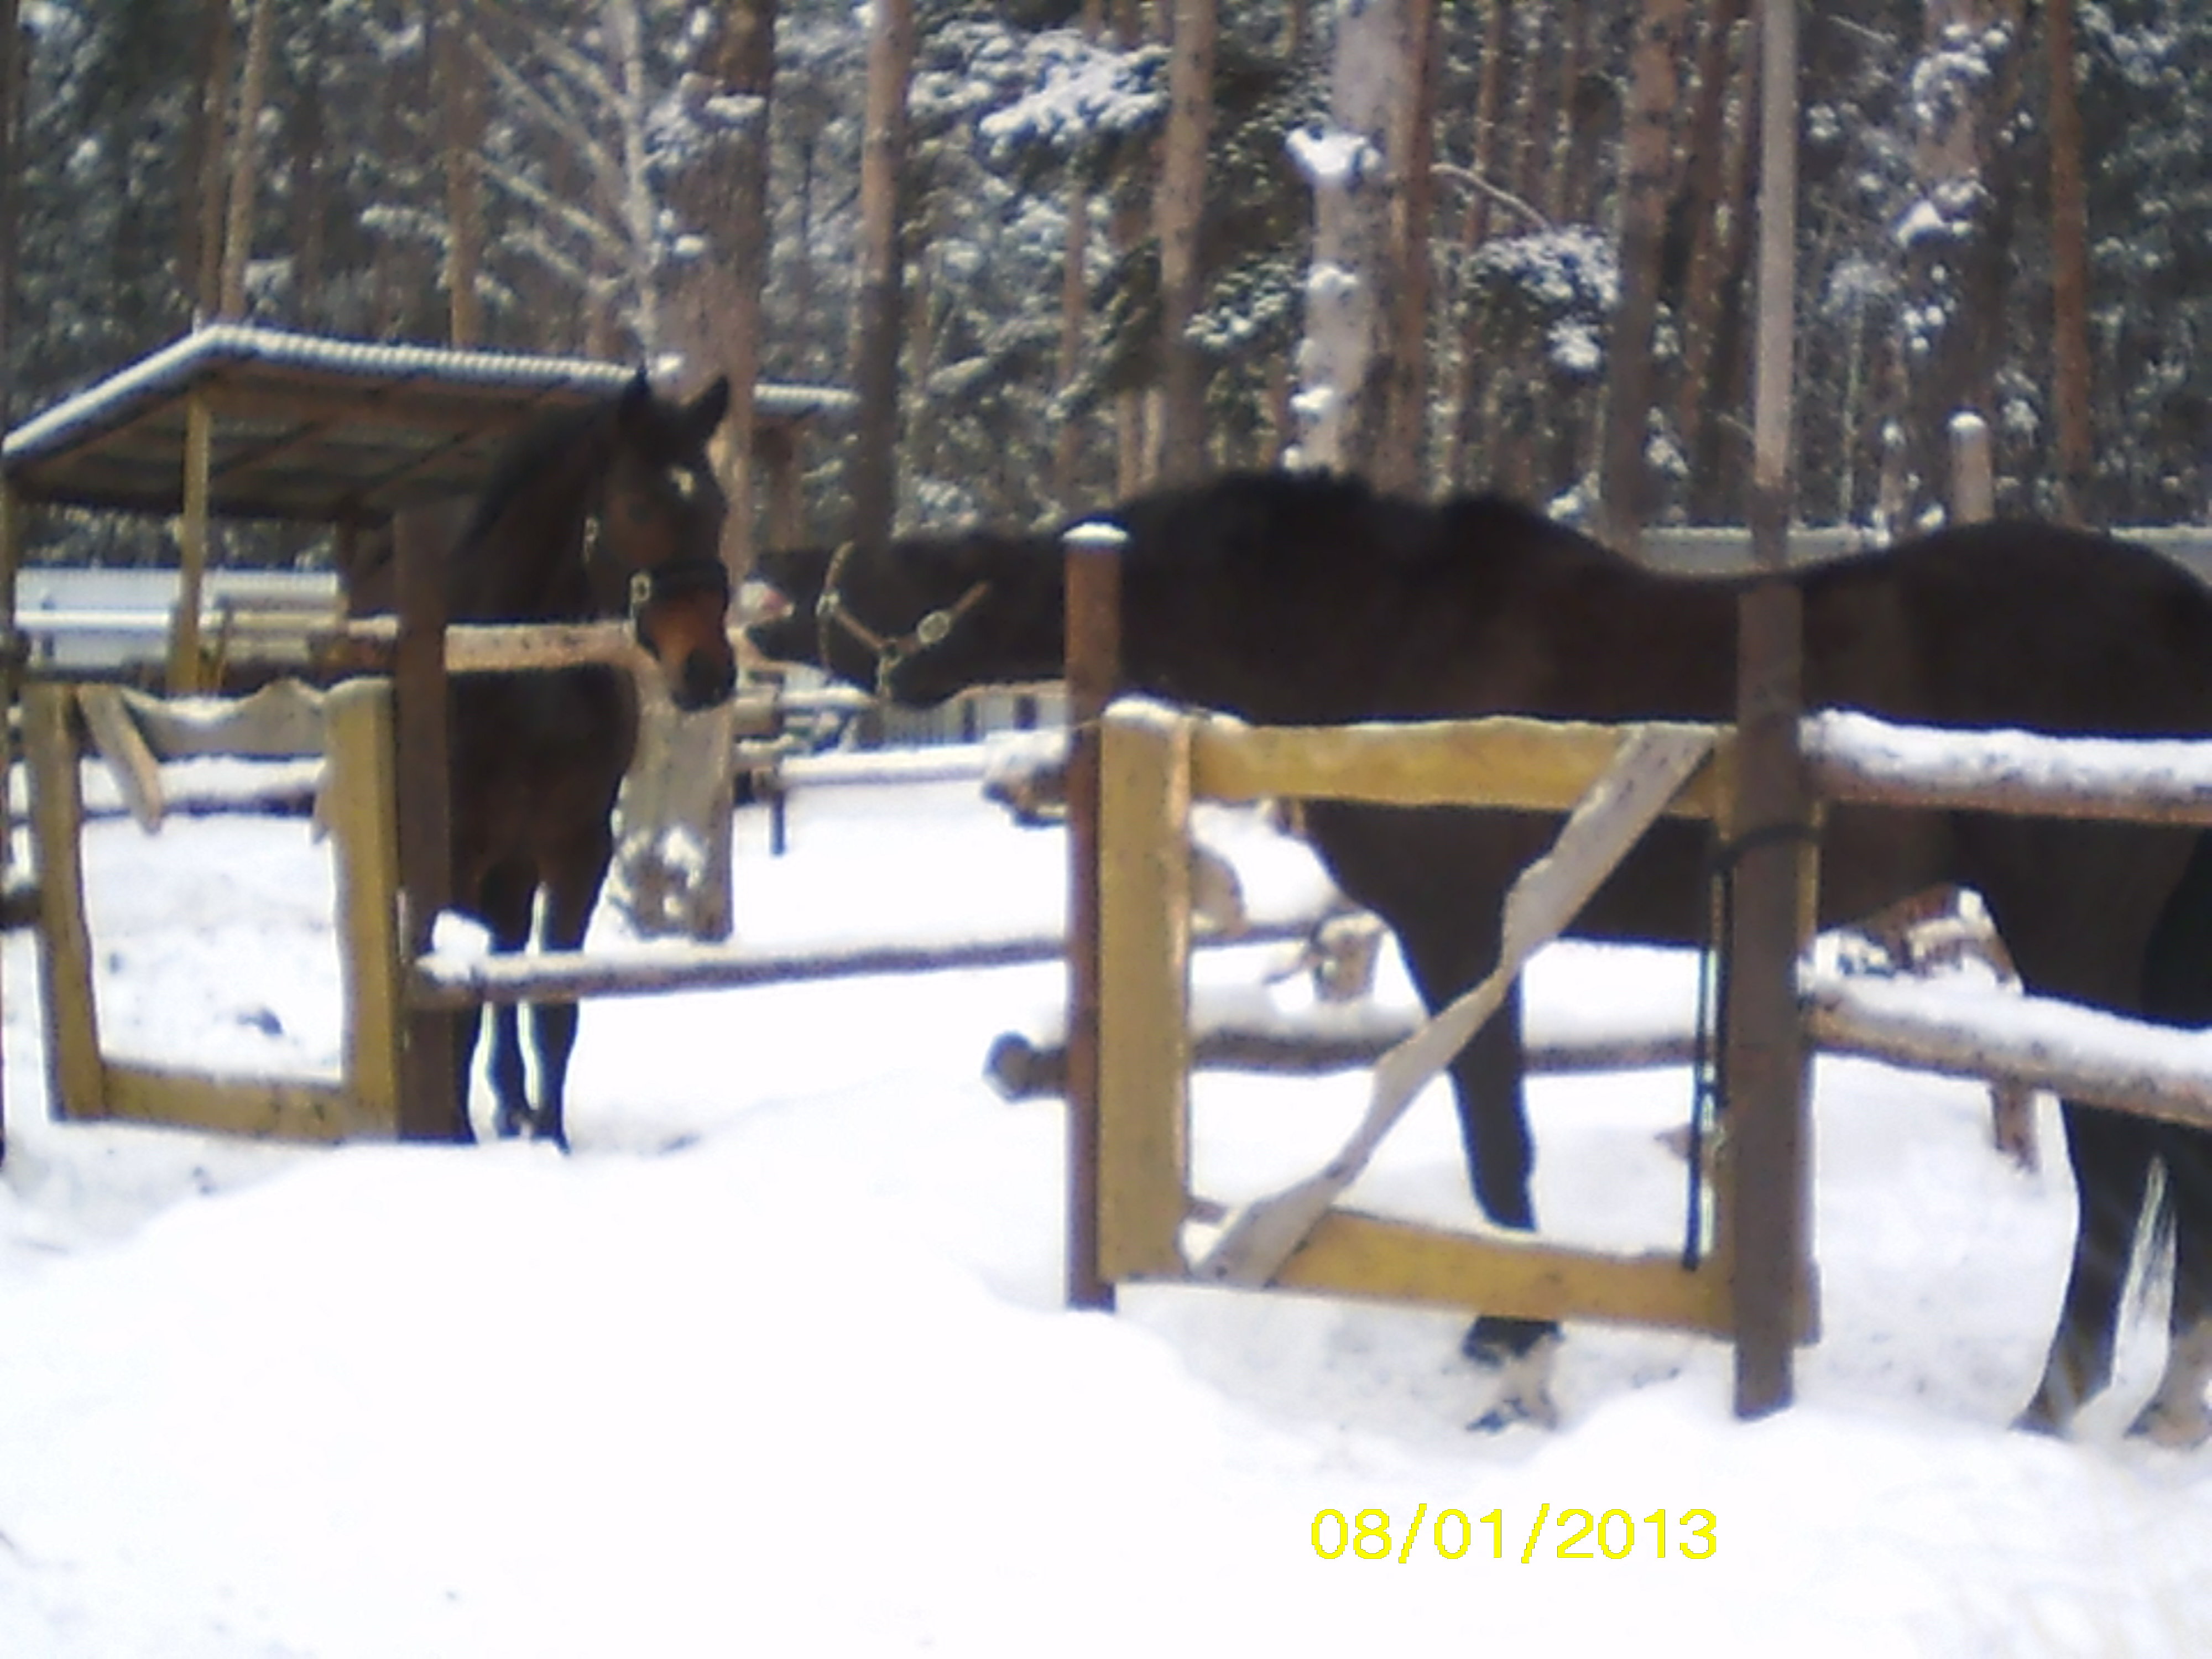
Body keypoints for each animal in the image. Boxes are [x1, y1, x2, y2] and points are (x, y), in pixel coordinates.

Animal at [345, 369, 739, 1150]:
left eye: (716, 506)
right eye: (637, 504)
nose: (708, 673)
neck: (514, 671)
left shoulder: (574, 852)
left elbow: (552, 1003)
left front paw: (549, 1137)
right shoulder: (455, 855)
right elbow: (457, 1006)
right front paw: (455, 1138)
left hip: (515, 865)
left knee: (505, 956)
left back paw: (512, 1103)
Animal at [752, 465, 2212, 1442]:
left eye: (910, 564)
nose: (769, 584)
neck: (1379, 636)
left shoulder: (1460, 931)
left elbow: (1490, 1132)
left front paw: (1519, 1352)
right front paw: (1507, 1337)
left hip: (2074, 933)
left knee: (2114, 1158)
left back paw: (2054, 1401)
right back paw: (2165, 1404)